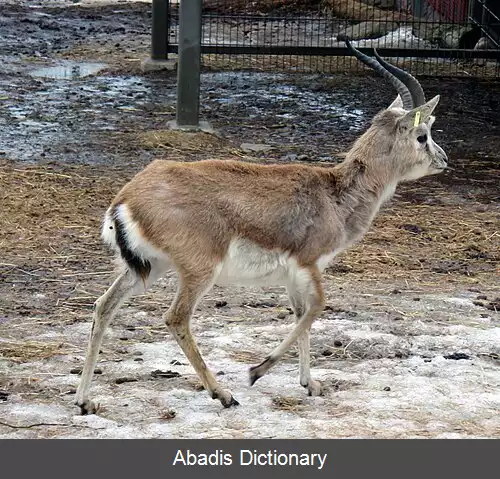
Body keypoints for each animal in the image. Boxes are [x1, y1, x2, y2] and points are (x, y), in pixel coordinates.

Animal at [75, 42, 450, 416]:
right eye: (423, 135)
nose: (444, 160)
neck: (334, 195)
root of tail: (126, 198)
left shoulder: (291, 275)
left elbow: (300, 314)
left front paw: (309, 383)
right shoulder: (308, 263)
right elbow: (318, 306)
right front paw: (257, 371)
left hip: (148, 266)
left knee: (103, 307)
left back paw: (84, 400)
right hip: (197, 271)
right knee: (175, 318)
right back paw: (223, 394)